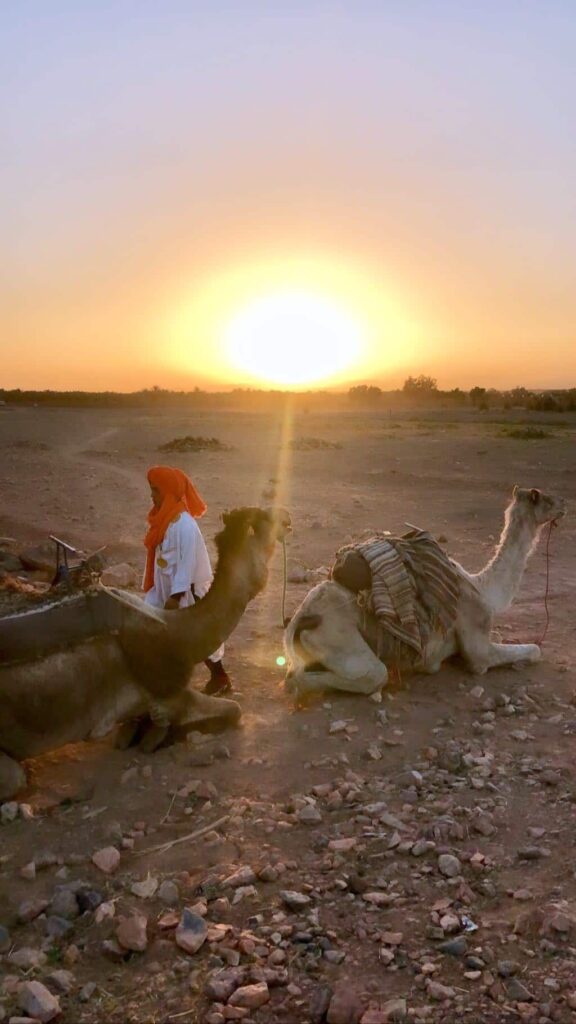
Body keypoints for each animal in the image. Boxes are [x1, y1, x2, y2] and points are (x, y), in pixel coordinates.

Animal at [284, 485, 561, 696]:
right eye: (546, 499)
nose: (564, 504)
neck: (485, 588)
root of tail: (302, 616)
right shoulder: (477, 639)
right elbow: (531, 650)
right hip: (338, 637)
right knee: (372, 675)